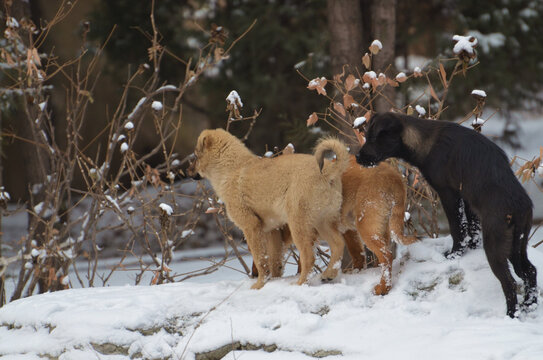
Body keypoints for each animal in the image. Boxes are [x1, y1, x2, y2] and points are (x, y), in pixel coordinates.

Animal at [189, 128, 350, 288]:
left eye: (196, 156)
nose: (187, 172)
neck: (231, 168)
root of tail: (327, 172)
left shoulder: (251, 226)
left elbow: (260, 260)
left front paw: (259, 285)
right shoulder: (273, 230)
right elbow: (274, 261)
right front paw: (272, 280)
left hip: (299, 225)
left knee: (309, 256)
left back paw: (300, 283)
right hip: (323, 222)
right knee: (338, 244)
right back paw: (328, 274)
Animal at [356, 112, 540, 318]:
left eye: (374, 138)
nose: (357, 157)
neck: (424, 140)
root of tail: (519, 207)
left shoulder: (449, 193)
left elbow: (457, 227)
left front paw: (454, 254)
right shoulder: (467, 199)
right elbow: (471, 228)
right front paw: (470, 248)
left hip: (496, 247)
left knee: (510, 282)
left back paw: (511, 314)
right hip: (517, 246)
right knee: (530, 271)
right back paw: (529, 306)